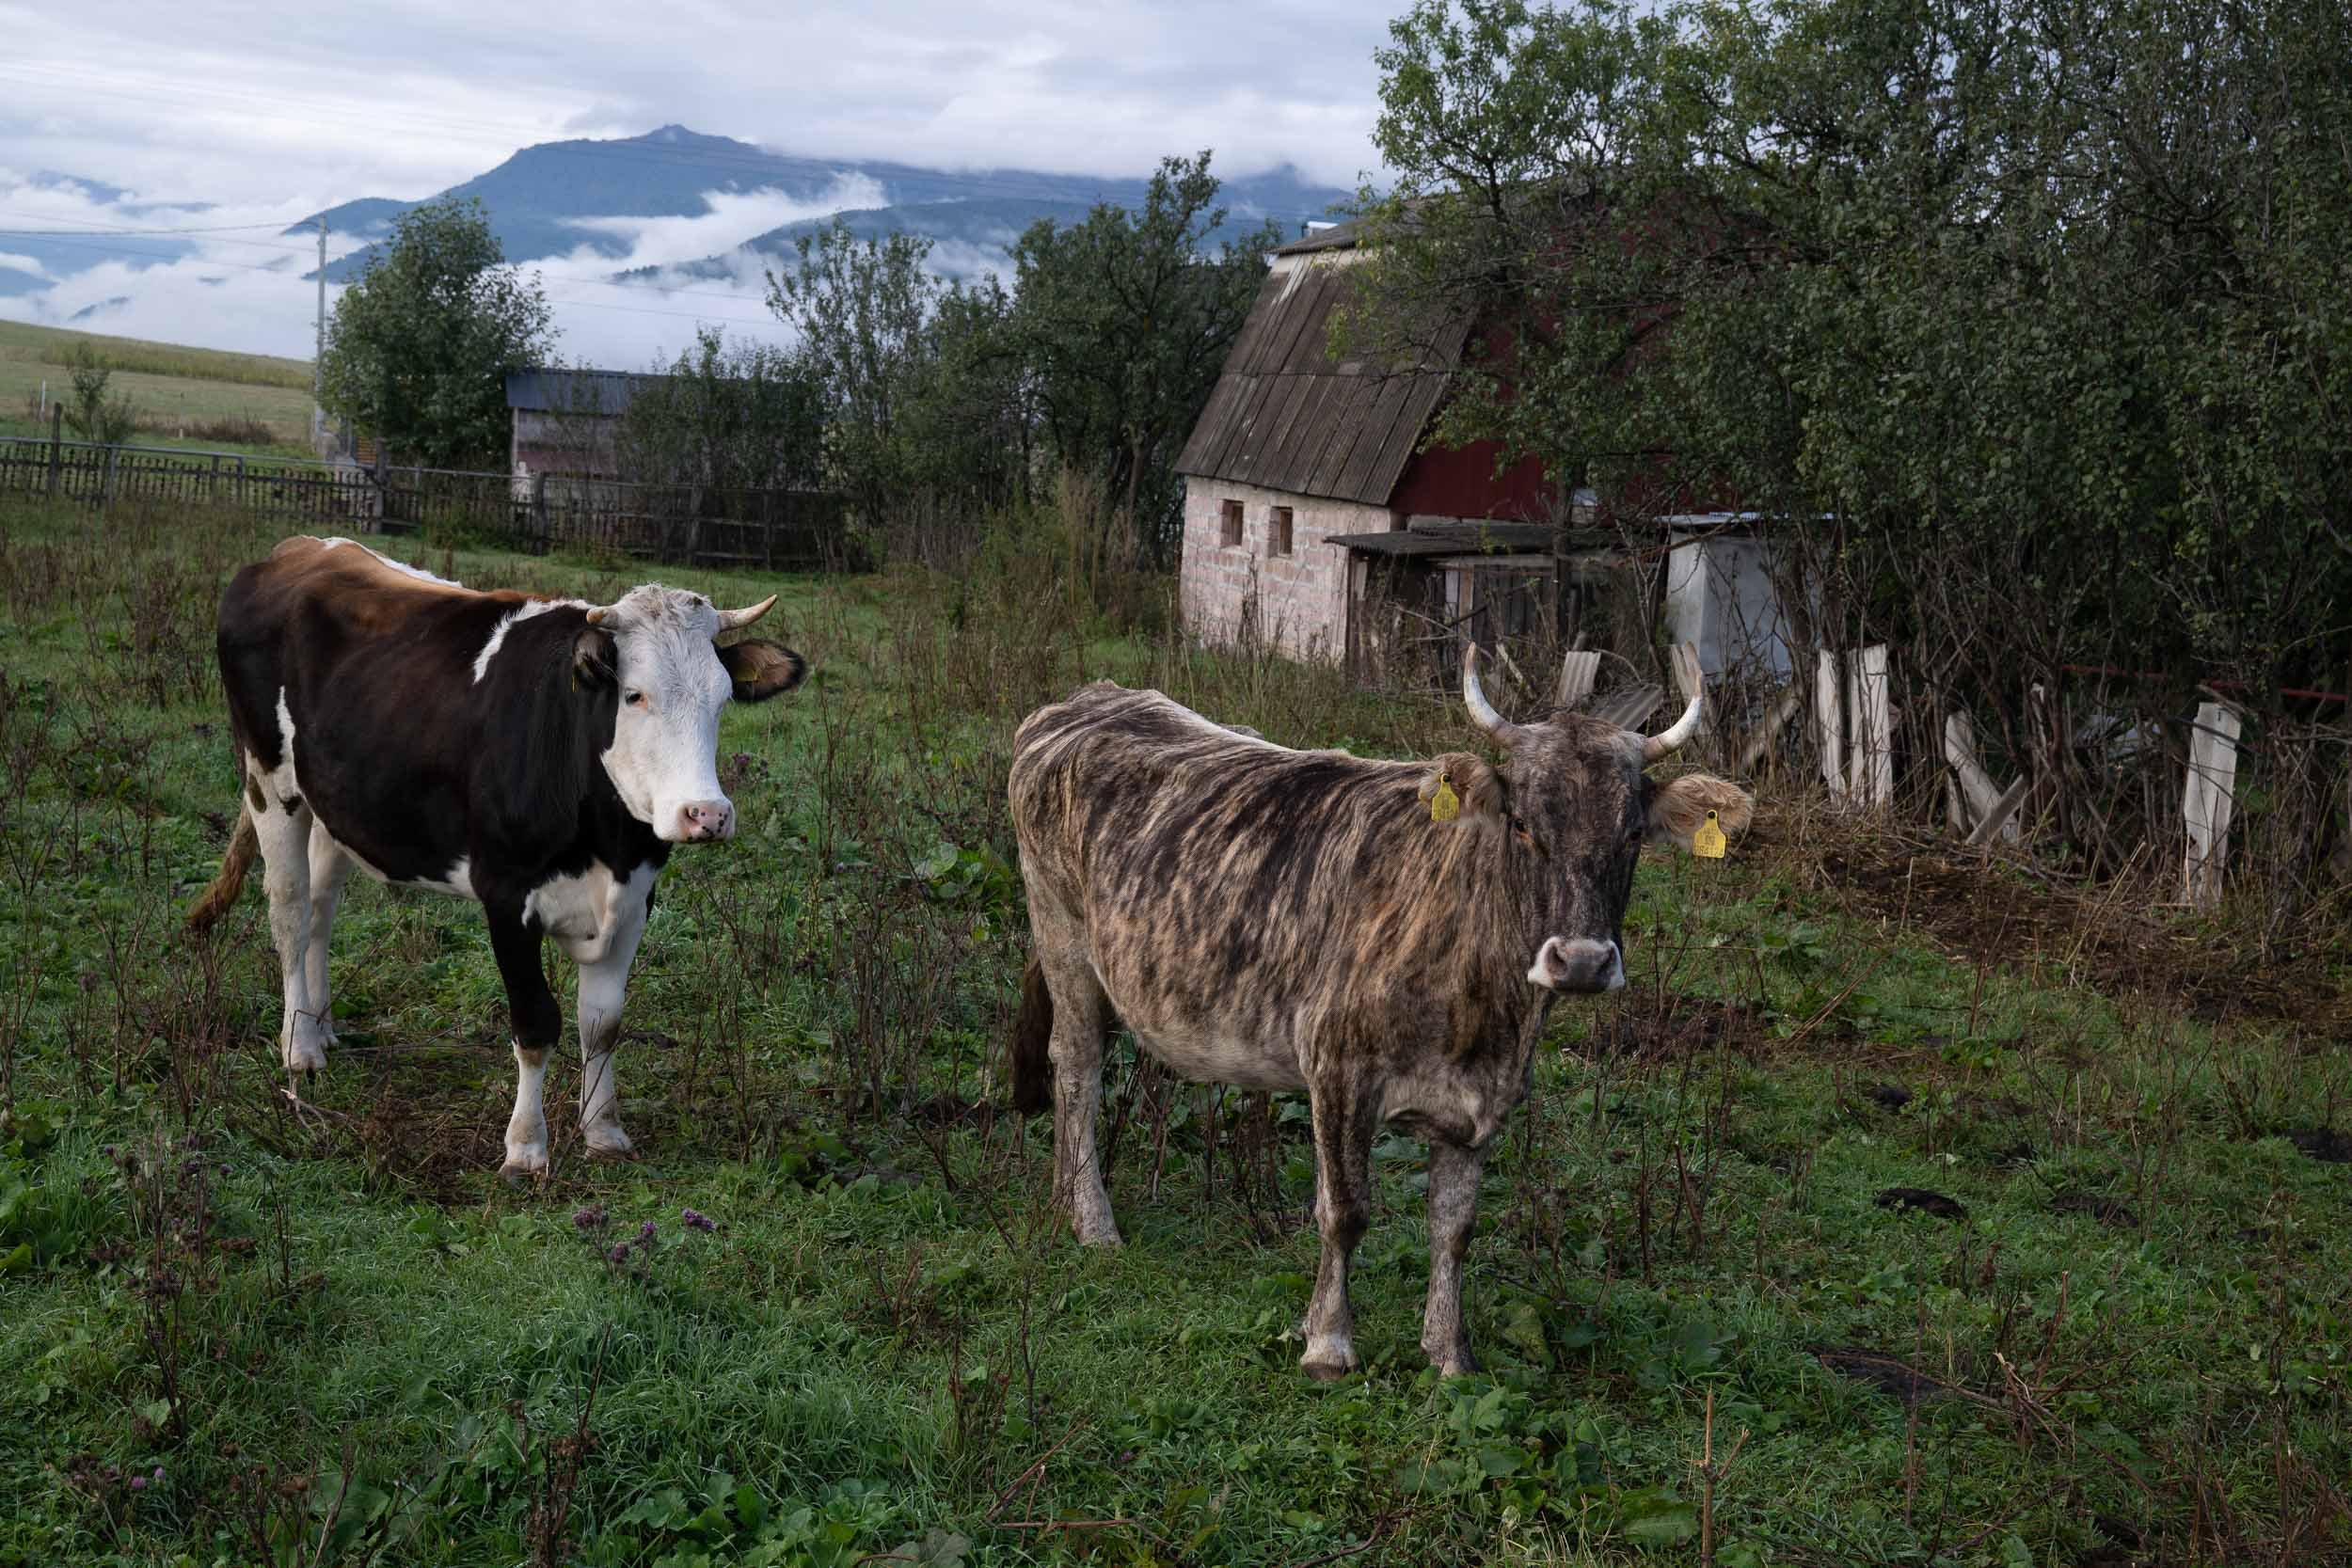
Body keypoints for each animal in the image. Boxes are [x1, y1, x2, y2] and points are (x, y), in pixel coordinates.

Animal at [187, 536, 806, 1179]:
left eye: (723, 697)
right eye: (634, 695)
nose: (705, 814)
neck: (604, 840)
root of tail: (300, 547)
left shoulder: (637, 897)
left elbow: (602, 1024)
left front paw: (603, 1130)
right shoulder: (507, 895)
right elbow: (535, 1024)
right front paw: (525, 1147)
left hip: (334, 803)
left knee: (320, 908)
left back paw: (322, 1024)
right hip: (269, 781)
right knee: (289, 911)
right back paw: (300, 1048)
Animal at [1005, 645, 1751, 1380]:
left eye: (1633, 834)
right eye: (1522, 824)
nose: (1584, 961)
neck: (1485, 1012)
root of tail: (1089, 699)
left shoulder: (1486, 1095)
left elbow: (1454, 1226)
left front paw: (1449, 1352)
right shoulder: (1337, 1065)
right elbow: (1345, 1211)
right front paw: (1328, 1342)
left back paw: (1062, 1194)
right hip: (1062, 932)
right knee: (1077, 1069)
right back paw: (1093, 1220)